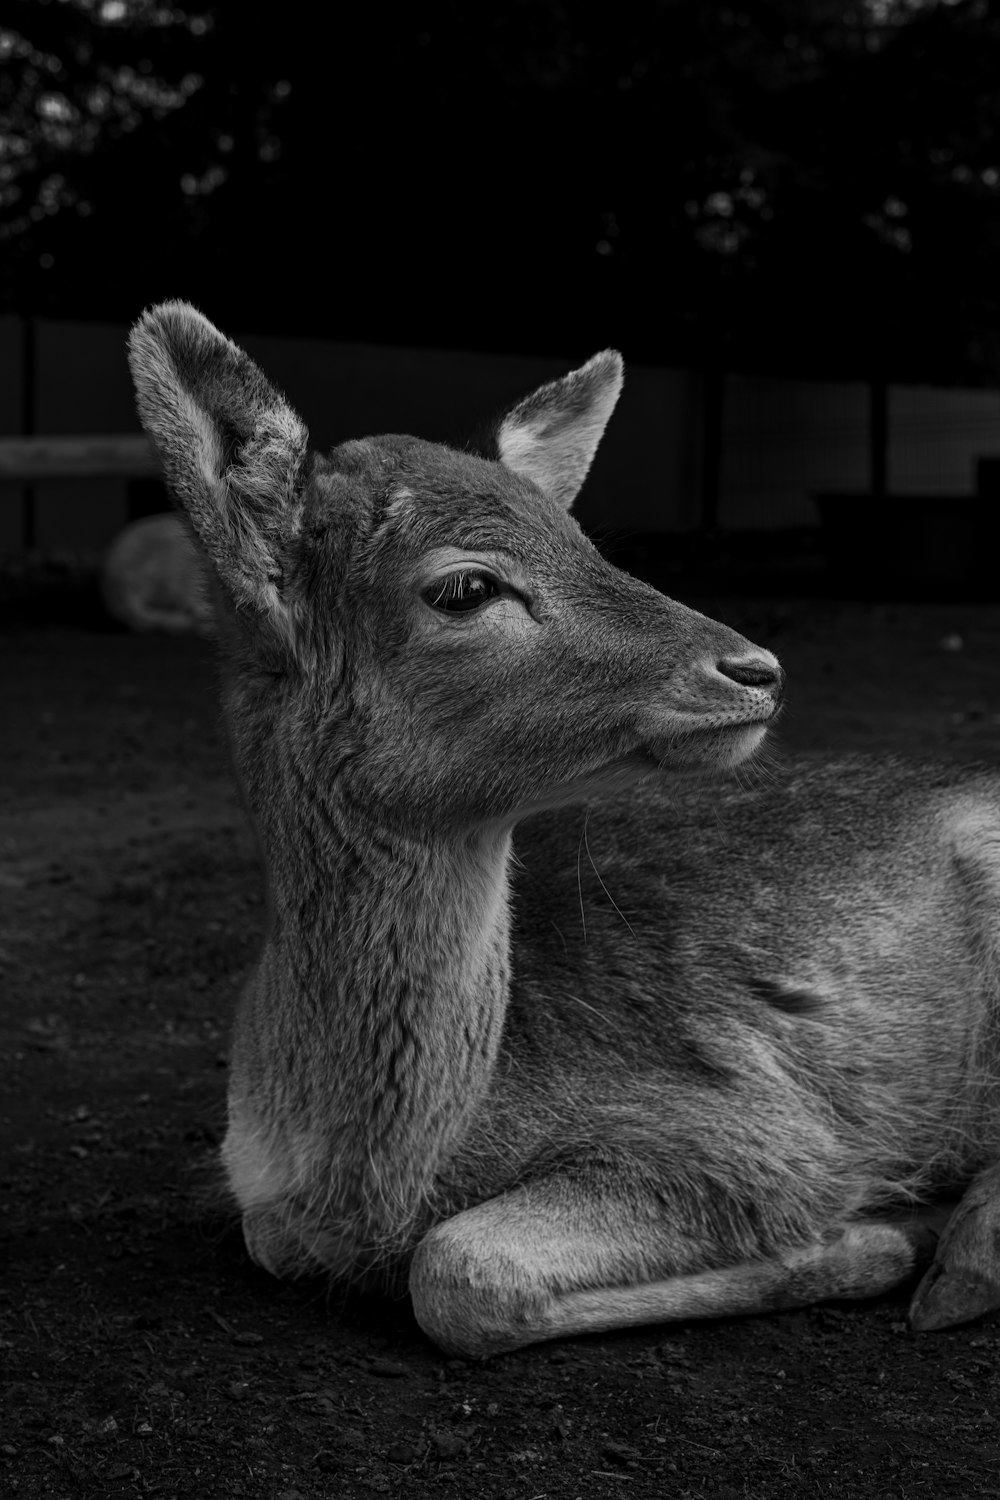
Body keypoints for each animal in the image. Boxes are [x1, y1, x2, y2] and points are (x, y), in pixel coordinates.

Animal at [128, 301, 1000, 1362]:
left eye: (588, 542)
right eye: (466, 587)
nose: (757, 668)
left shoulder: (753, 1136)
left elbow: (459, 1270)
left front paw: (875, 1234)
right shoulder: (262, 1200)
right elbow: (279, 1239)